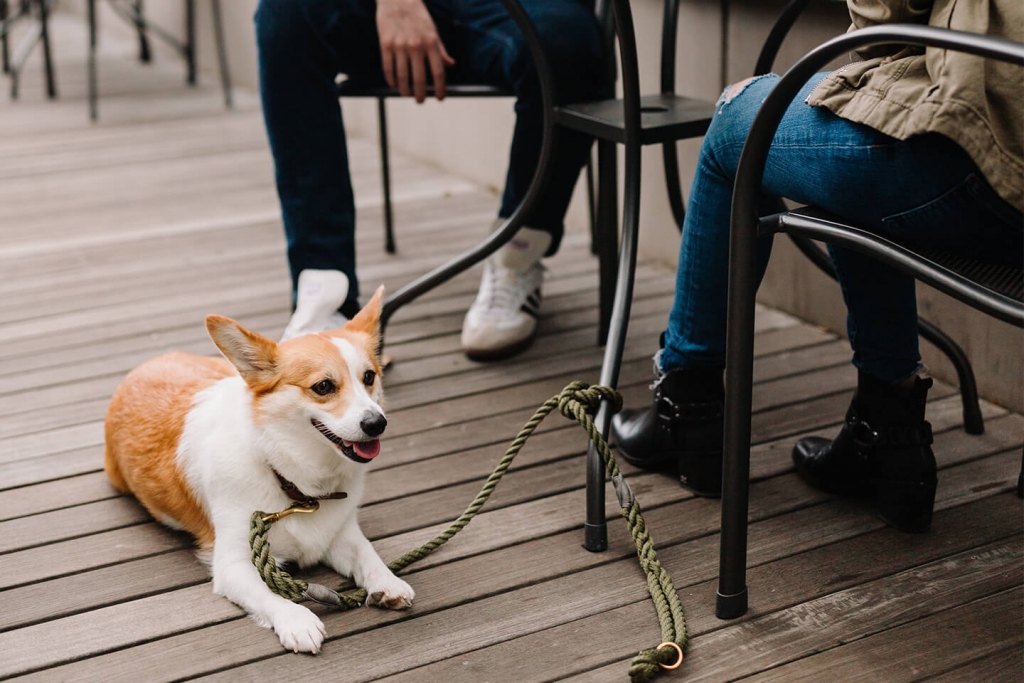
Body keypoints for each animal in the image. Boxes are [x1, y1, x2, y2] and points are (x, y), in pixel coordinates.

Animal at [101, 286, 409, 655]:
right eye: (323, 387)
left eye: (369, 377)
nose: (377, 423)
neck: (293, 477)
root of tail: (145, 364)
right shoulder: (233, 564)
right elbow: (268, 595)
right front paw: (297, 620)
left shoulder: (342, 536)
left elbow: (368, 554)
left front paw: (388, 582)